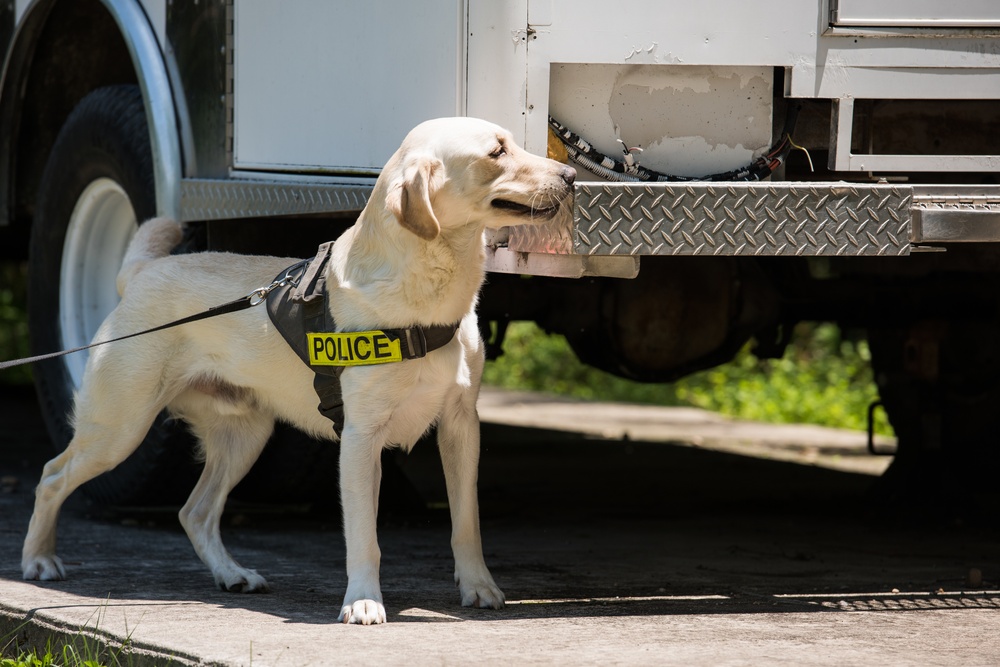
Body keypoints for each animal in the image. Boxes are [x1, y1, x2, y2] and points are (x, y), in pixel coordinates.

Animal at [19, 117, 576, 624]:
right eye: (497, 152)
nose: (572, 175)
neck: (427, 302)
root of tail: (143, 272)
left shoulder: (461, 427)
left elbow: (466, 523)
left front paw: (478, 587)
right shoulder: (361, 439)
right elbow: (364, 537)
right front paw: (363, 601)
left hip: (245, 437)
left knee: (194, 511)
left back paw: (231, 574)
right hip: (118, 429)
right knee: (51, 476)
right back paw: (39, 560)